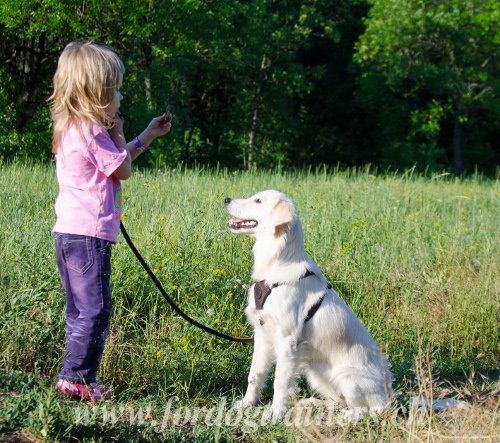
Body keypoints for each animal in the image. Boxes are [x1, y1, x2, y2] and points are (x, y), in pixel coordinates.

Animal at [225, 191, 392, 420]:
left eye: (258, 201)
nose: (226, 199)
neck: (277, 263)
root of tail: (389, 396)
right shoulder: (262, 333)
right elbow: (254, 374)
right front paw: (246, 403)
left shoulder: (288, 342)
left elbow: (280, 383)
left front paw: (275, 414)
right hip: (315, 373)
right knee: (339, 401)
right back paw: (312, 403)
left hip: (348, 377)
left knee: (369, 410)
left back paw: (346, 416)